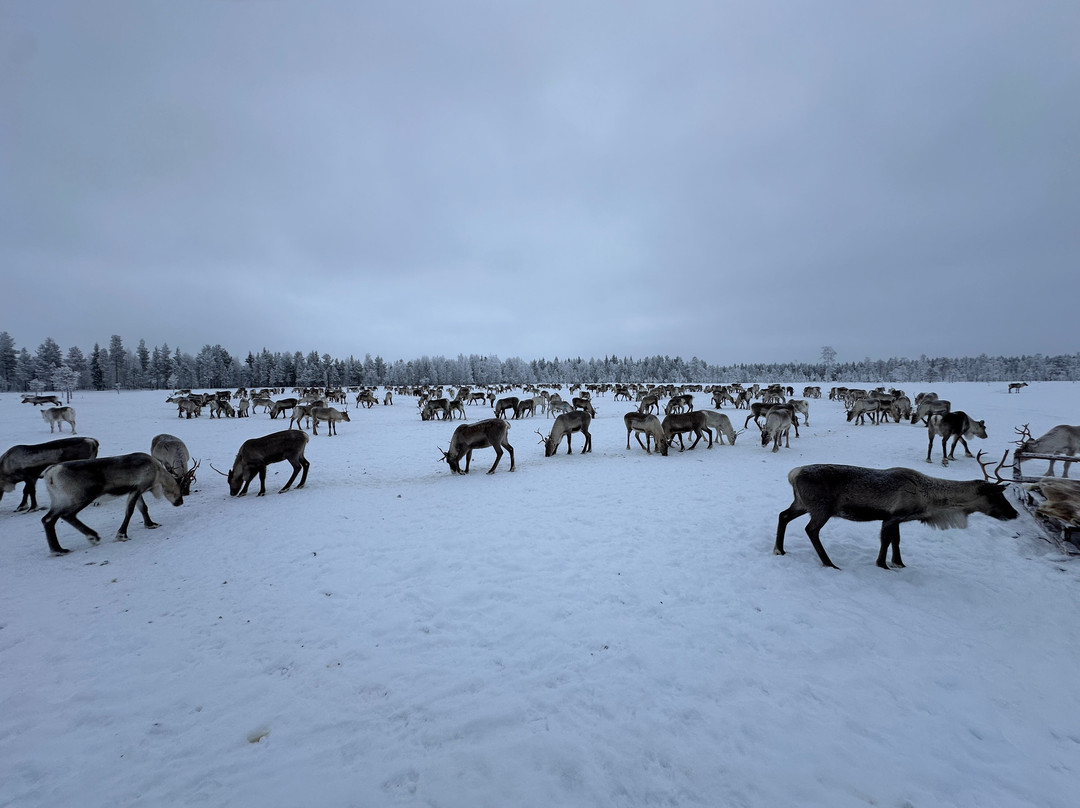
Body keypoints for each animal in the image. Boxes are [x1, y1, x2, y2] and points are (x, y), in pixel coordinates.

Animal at [40, 453, 185, 555]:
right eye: (180, 487)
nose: (180, 502)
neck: (157, 473)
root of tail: (50, 474)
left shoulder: (135, 491)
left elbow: (143, 508)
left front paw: (150, 524)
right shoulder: (138, 488)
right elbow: (130, 511)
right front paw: (122, 535)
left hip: (58, 501)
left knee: (47, 519)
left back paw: (58, 550)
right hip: (80, 498)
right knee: (67, 515)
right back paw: (92, 537)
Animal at [774, 462, 1018, 569]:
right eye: (996, 496)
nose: (1014, 513)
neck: (930, 501)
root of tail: (792, 474)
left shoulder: (896, 519)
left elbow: (896, 540)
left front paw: (899, 563)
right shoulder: (892, 516)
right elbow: (885, 540)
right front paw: (883, 564)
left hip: (801, 504)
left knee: (783, 515)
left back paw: (780, 550)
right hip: (821, 508)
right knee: (811, 530)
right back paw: (829, 563)